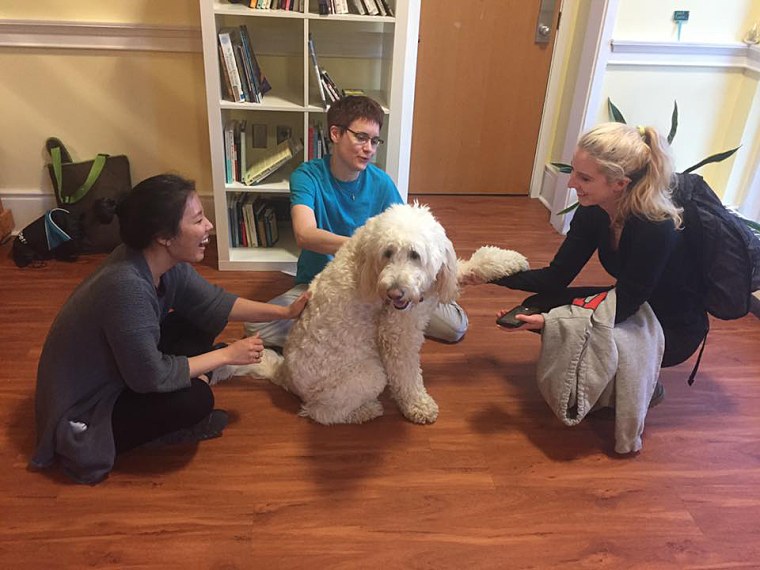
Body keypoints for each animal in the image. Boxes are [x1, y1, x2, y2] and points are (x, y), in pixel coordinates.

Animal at [252, 202, 524, 424]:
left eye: (415, 255)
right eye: (388, 253)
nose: (395, 293)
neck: (366, 259)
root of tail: (284, 374)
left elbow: (468, 265)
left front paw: (508, 261)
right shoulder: (397, 335)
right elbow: (407, 374)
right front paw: (418, 405)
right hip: (368, 376)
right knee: (319, 413)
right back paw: (365, 411)